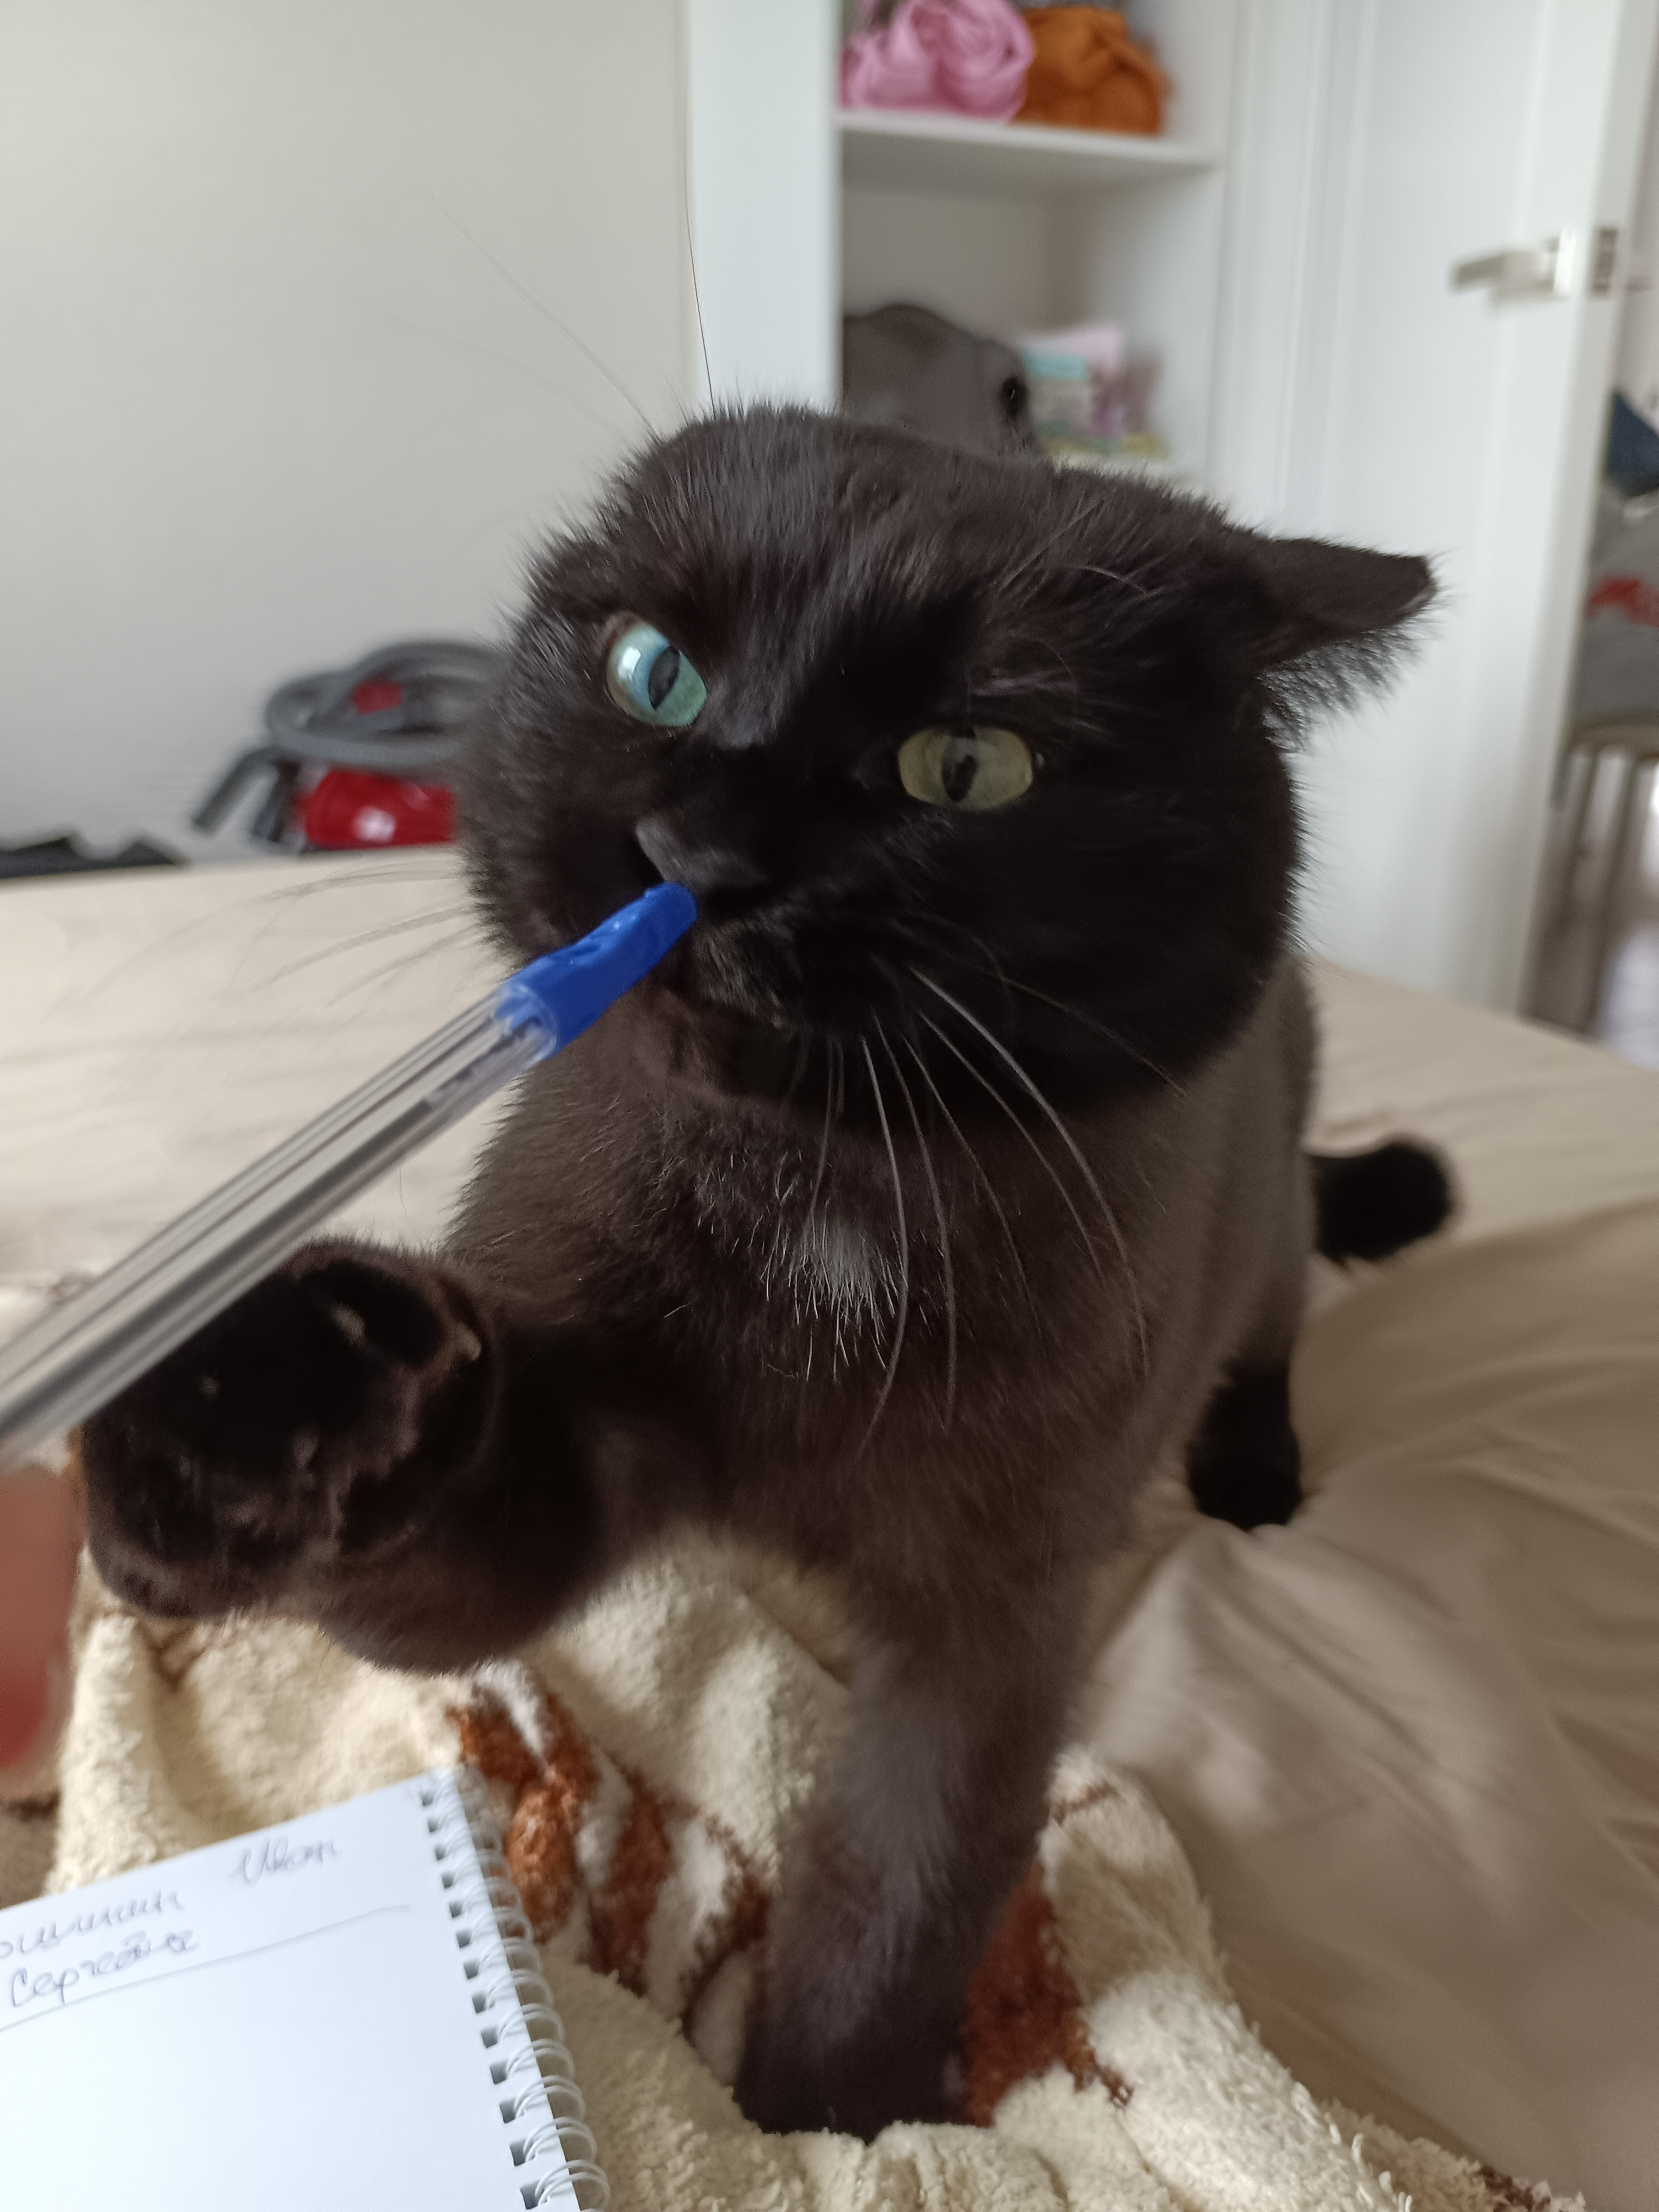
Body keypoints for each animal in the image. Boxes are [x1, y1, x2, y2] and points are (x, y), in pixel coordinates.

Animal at [82, 407, 1448, 2140]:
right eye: (652, 670)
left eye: (966, 763)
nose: (703, 856)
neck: (823, 1199)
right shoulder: (553, 1453)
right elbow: (432, 1573)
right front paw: (239, 1388)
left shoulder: (992, 1612)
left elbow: (907, 1878)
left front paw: (833, 2119)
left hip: (1263, 1198)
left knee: (1272, 1320)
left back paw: (1256, 1468)